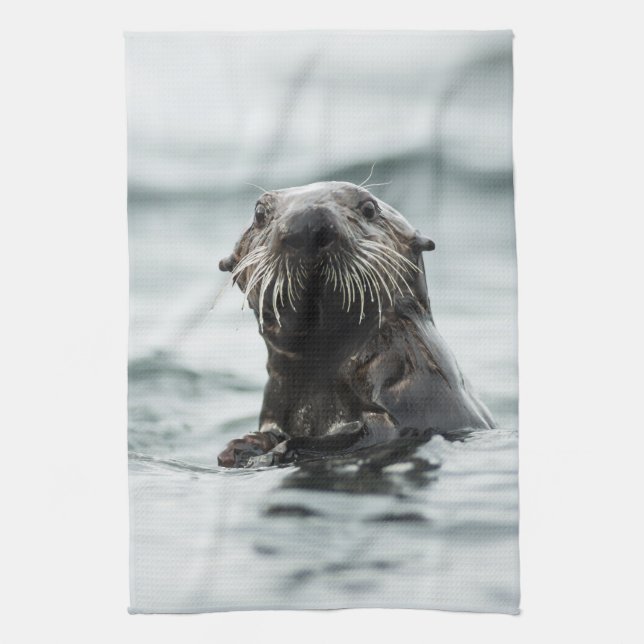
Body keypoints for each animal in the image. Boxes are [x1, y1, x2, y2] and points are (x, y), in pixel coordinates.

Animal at [217, 181, 495, 467]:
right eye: (260, 213)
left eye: (369, 208)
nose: (308, 224)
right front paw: (243, 447)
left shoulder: (413, 399)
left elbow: (366, 435)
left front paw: (275, 451)